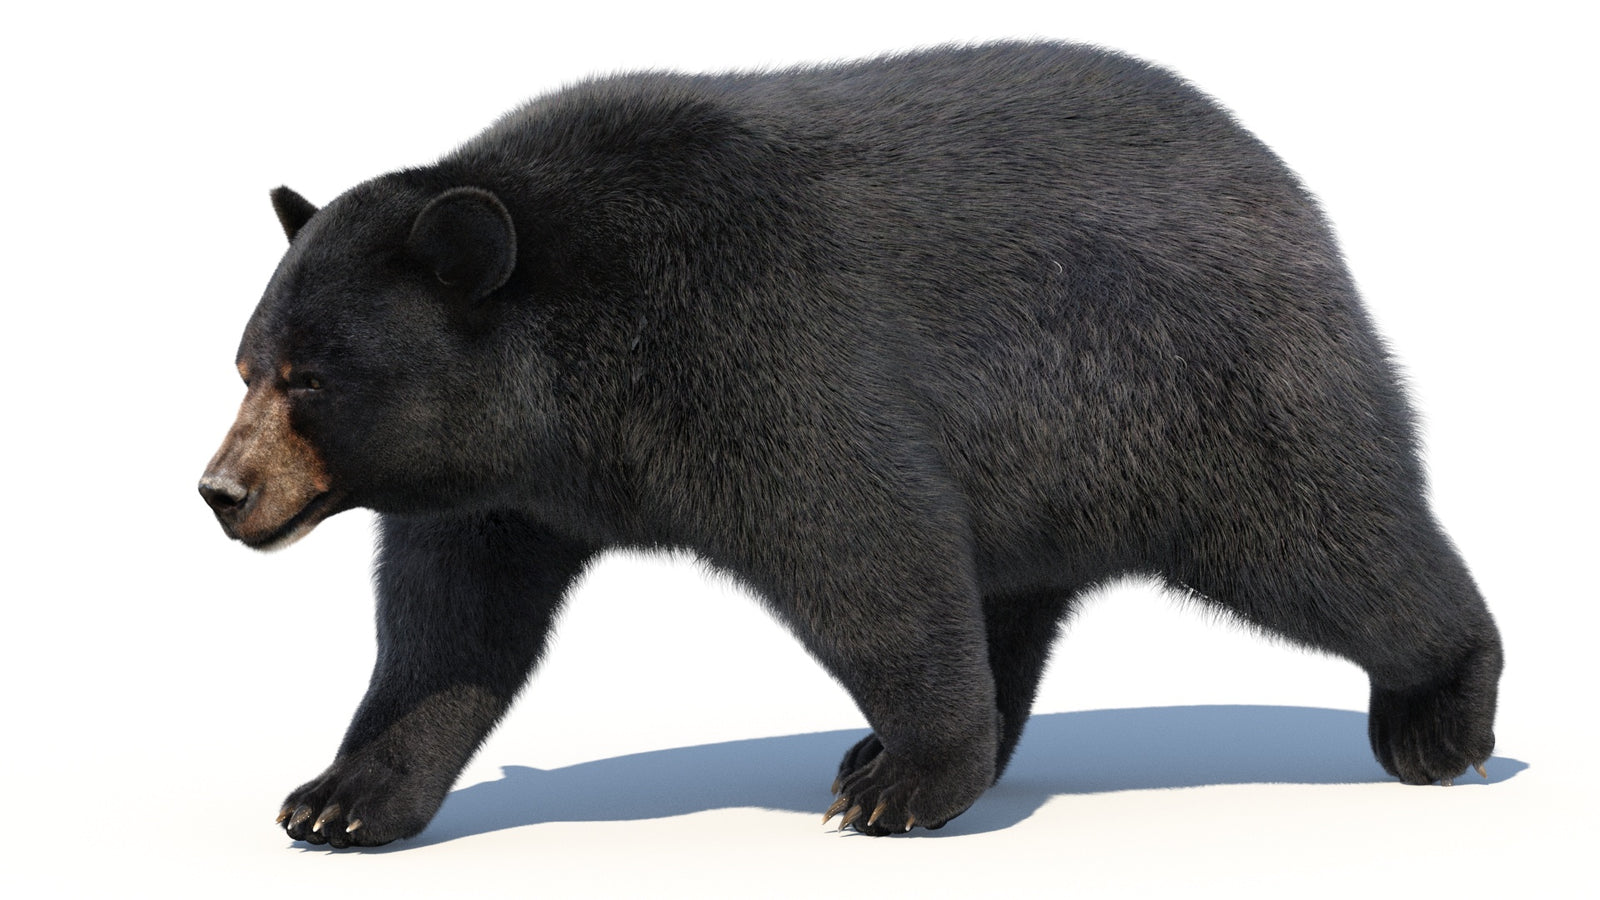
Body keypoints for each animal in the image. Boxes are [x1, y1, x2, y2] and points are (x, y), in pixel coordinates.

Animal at [199, 41, 1502, 848]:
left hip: (1196, 396)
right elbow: (448, 627)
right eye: (248, 364)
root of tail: (1281, 183)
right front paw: (340, 798)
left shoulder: (748, 345)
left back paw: (1439, 715)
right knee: (1010, 601)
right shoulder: (503, 485)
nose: (222, 490)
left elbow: (862, 544)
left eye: (313, 378)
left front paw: (905, 789)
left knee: (1331, 542)